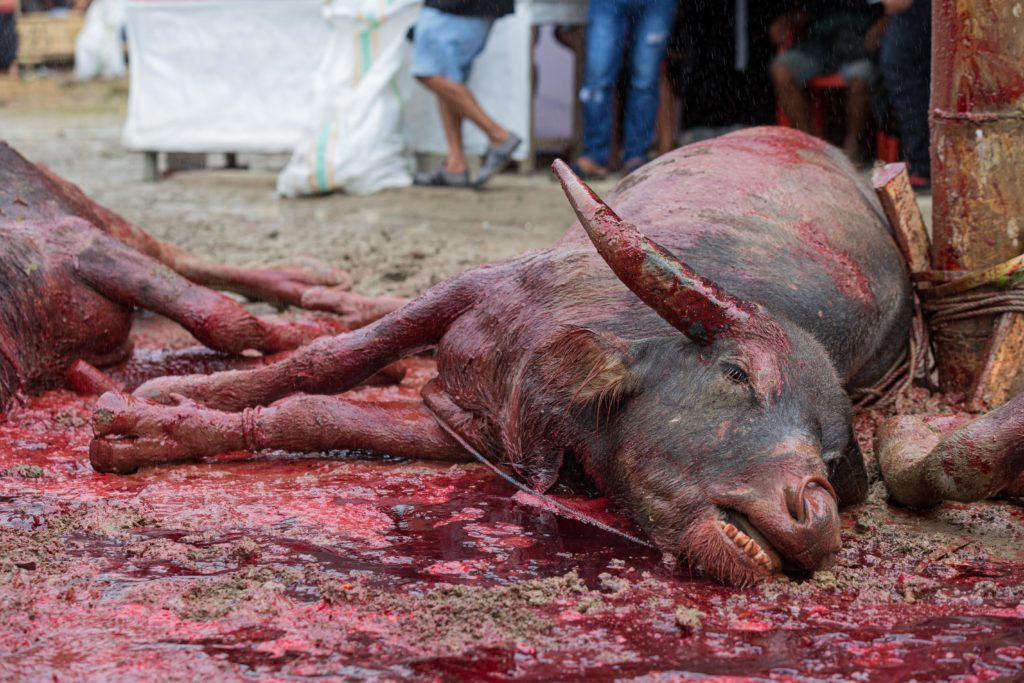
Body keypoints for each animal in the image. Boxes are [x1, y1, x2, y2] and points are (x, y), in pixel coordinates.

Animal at [90, 129, 921, 589]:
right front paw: (159, 403)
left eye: (832, 448)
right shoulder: (473, 289)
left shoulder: (475, 432)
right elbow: (326, 362)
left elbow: (315, 415)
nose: (811, 517)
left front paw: (155, 426)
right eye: (739, 374)